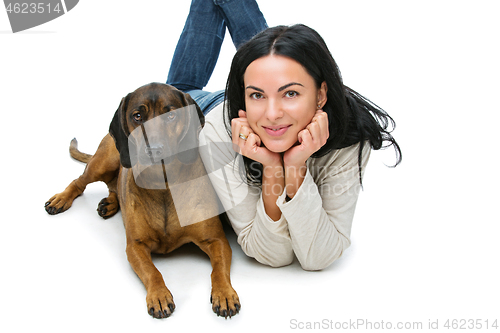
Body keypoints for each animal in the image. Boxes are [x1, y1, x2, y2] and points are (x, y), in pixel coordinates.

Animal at [46, 81, 241, 318]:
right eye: (137, 116)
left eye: (171, 115)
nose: (154, 149)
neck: (163, 185)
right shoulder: (135, 247)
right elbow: (152, 271)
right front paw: (159, 295)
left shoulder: (216, 240)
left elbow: (218, 269)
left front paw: (224, 293)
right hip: (104, 161)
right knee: (80, 181)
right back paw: (62, 198)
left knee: (113, 186)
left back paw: (110, 203)